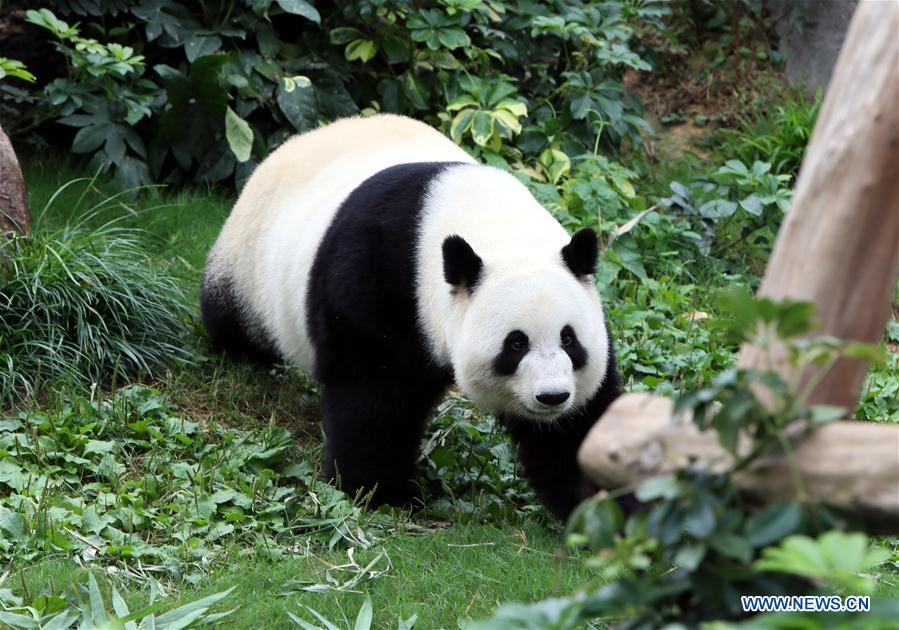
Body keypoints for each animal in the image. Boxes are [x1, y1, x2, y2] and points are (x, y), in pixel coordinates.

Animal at [203, 116, 624, 520]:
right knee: (231, 321)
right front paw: (380, 492)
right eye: (516, 343)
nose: (553, 396)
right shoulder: (380, 275)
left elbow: (579, 429)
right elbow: (373, 392)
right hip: (249, 265)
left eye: (569, 339)